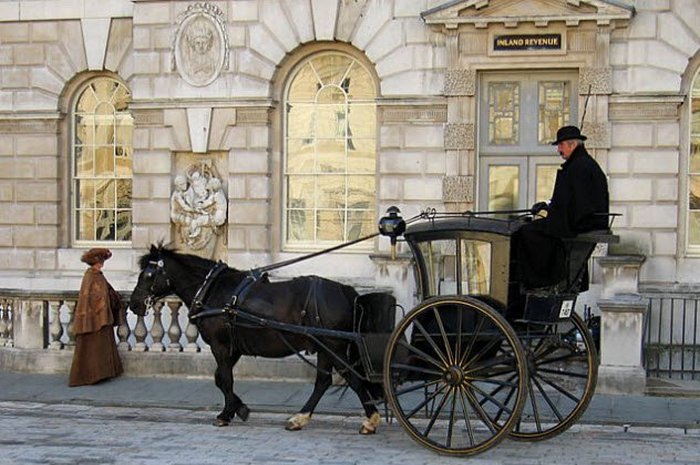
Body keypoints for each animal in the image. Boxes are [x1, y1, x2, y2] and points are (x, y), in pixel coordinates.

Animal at [129, 245, 386, 434]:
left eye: (148, 274)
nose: (133, 304)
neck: (213, 290)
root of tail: (347, 292)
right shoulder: (232, 348)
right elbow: (220, 379)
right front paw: (239, 409)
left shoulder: (221, 346)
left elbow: (226, 380)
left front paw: (226, 414)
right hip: (324, 348)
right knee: (324, 382)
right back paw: (300, 418)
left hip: (333, 346)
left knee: (352, 378)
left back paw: (370, 420)